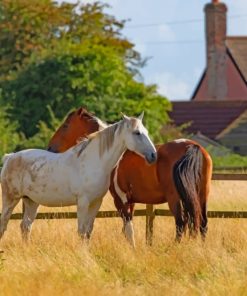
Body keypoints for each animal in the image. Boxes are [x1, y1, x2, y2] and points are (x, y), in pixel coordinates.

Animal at [0, 113, 156, 240]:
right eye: (137, 133)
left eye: (147, 132)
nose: (153, 155)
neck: (94, 162)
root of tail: (10, 157)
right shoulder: (83, 202)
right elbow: (81, 231)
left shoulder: (96, 203)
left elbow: (88, 232)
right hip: (10, 199)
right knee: (4, 225)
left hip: (31, 201)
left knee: (25, 227)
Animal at [47, 107, 212, 246]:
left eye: (65, 126)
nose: (50, 147)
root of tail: (192, 146)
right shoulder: (131, 201)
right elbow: (127, 229)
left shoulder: (120, 200)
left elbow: (128, 228)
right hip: (202, 195)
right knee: (202, 223)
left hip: (175, 198)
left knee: (180, 223)